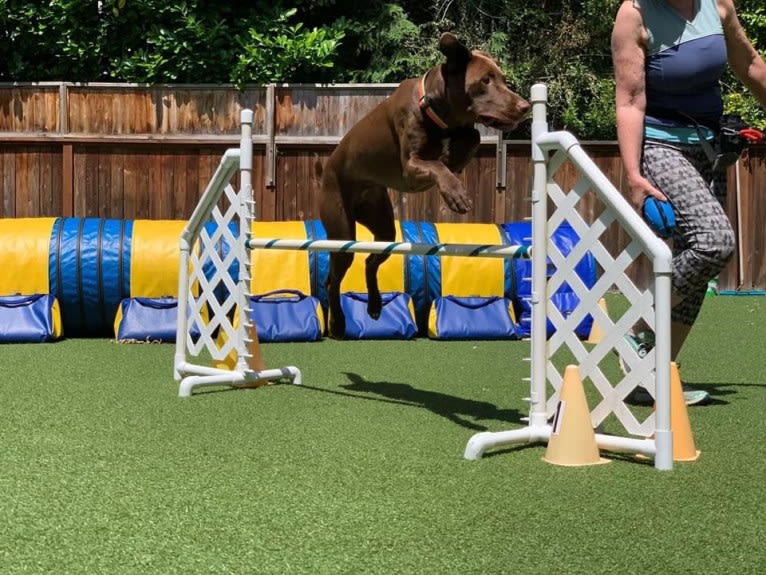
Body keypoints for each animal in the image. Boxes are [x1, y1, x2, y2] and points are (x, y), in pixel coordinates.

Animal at [316, 32, 528, 338]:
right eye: (485, 81)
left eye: (502, 78)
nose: (525, 107)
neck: (435, 112)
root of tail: (325, 171)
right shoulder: (410, 167)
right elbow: (437, 165)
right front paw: (455, 194)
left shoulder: (457, 132)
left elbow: (472, 136)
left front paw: (454, 158)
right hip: (341, 229)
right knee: (333, 279)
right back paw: (338, 323)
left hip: (383, 226)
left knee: (369, 261)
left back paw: (375, 305)